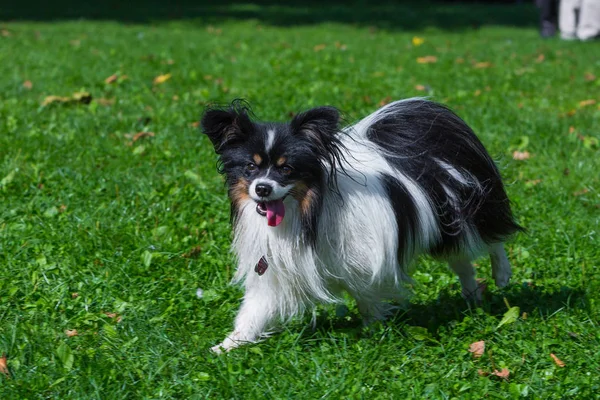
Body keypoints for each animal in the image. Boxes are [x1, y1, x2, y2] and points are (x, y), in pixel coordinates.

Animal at [200, 98, 520, 352]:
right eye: (250, 168)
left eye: (286, 169)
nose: (263, 188)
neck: (306, 213)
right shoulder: (275, 272)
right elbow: (253, 313)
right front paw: (226, 346)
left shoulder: (366, 262)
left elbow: (367, 297)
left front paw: (372, 329)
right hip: (445, 231)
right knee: (462, 261)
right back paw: (472, 296)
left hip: (469, 214)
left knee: (493, 240)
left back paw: (501, 274)